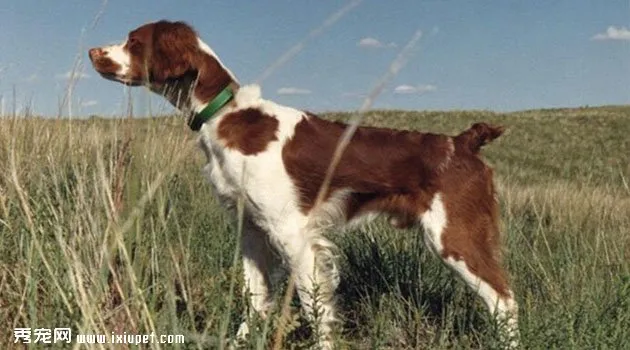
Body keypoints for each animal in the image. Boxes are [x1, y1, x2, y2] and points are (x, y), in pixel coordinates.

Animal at [90, 20, 524, 348]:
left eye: (133, 41)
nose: (93, 52)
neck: (225, 114)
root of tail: (463, 141)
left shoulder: (292, 231)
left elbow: (315, 305)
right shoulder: (251, 229)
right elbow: (255, 297)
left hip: (454, 236)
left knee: (503, 299)